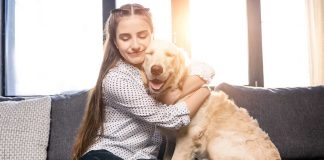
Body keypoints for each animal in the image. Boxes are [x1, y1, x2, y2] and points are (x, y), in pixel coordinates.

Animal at [142, 39, 280, 160]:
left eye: (170, 55)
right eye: (149, 53)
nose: (156, 69)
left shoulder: (188, 136)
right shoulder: (171, 139)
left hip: (216, 143)